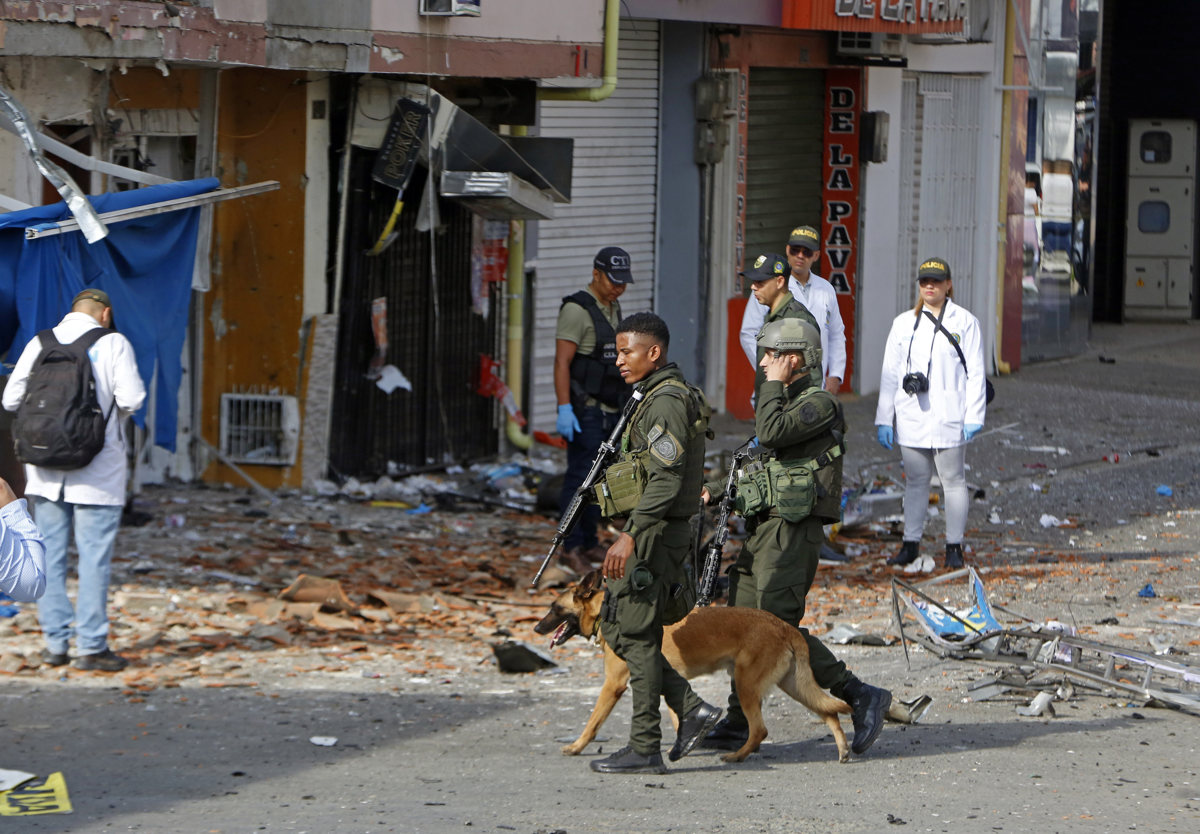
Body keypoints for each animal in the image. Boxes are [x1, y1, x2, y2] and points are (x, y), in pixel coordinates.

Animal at [535, 571, 854, 758]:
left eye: (553, 608)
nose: (536, 628)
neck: (606, 612)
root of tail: (784, 626)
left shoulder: (613, 685)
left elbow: (593, 722)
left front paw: (576, 746)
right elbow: (681, 715)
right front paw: (688, 739)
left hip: (746, 685)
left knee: (760, 730)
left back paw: (736, 756)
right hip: (793, 685)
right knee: (829, 712)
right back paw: (842, 749)